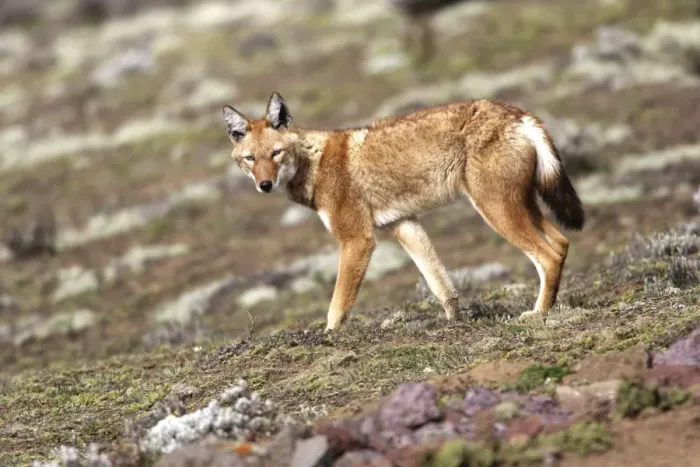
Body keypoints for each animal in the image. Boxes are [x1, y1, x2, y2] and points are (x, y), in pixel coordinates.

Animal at [222, 92, 585, 331]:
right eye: (251, 159)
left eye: (276, 153)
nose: (265, 185)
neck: (315, 162)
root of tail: (518, 113)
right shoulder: (404, 225)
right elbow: (441, 285)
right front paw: (457, 323)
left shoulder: (358, 240)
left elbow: (337, 305)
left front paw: (328, 337)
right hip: (521, 208)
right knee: (562, 244)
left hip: (497, 212)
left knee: (548, 256)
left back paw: (539, 314)